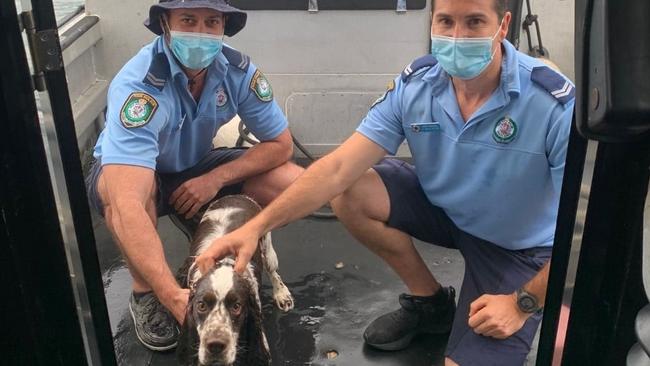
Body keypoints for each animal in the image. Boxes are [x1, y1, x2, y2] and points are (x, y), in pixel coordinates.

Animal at [175, 196, 292, 364]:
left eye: (236, 306)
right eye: (201, 305)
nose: (215, 345)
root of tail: (237, 196)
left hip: (268, 249)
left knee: (273, 271)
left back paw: (282, 294)